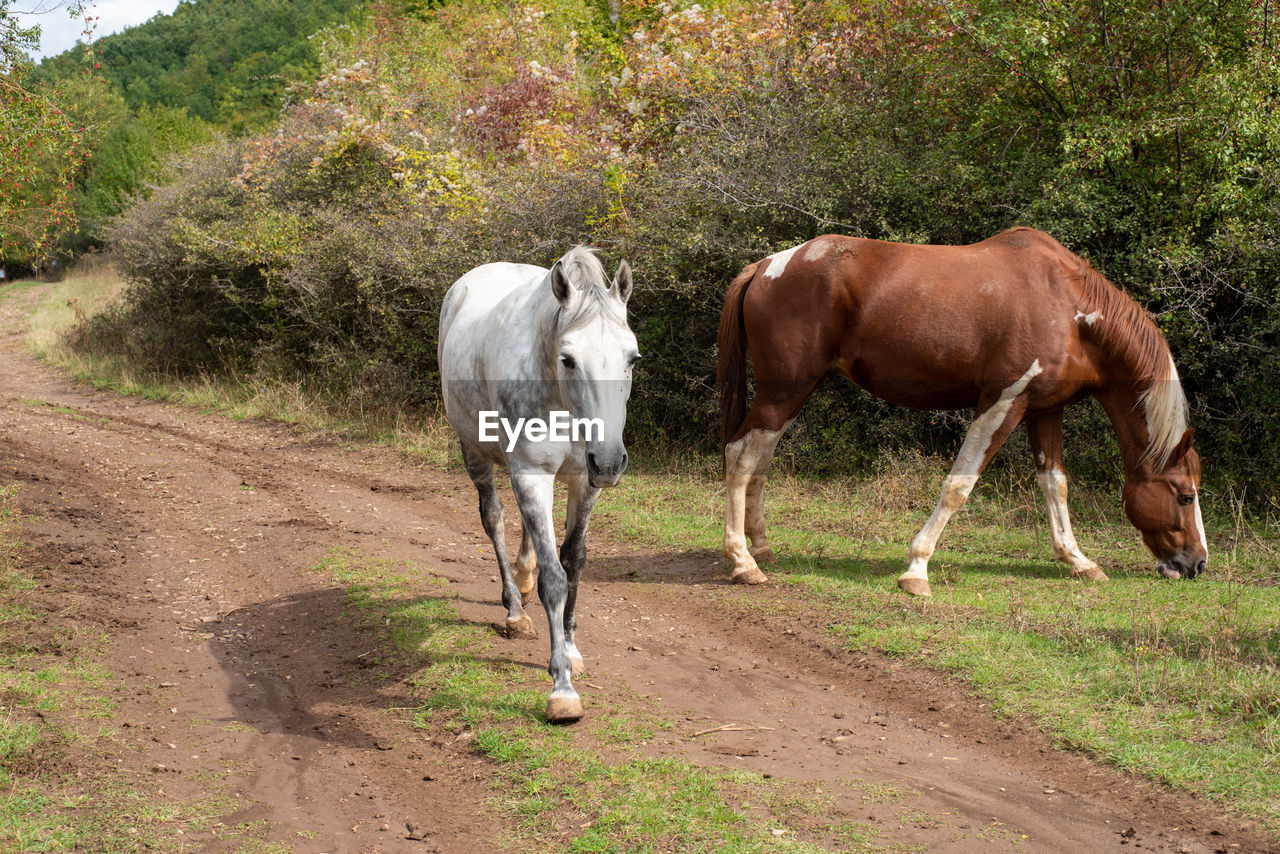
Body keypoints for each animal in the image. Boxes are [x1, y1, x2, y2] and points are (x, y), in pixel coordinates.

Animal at [440, 245, 640, 722]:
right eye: (568, 359)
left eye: (632, 358)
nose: (611, 460)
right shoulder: (530, 473)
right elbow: (555, 576)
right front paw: (562, 687)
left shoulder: (585, 482)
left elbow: (574, 560)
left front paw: (571, 647)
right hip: (474, 451)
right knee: (493, 519)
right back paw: (515, 607)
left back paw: (523, 579)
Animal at [721, 230, 1208, 599]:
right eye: (1186, 496)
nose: (1198, 563)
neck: (1069, 309)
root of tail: (766, 265)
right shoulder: (1003, 403)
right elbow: (959, 485)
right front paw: (916, 569)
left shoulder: (1044, 411)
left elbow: (1056, 485)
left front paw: (1078, 560)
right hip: (783, 391)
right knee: (740, 458)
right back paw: (743, 563)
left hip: (791, 395)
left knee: (759, 461)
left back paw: (761, 548)